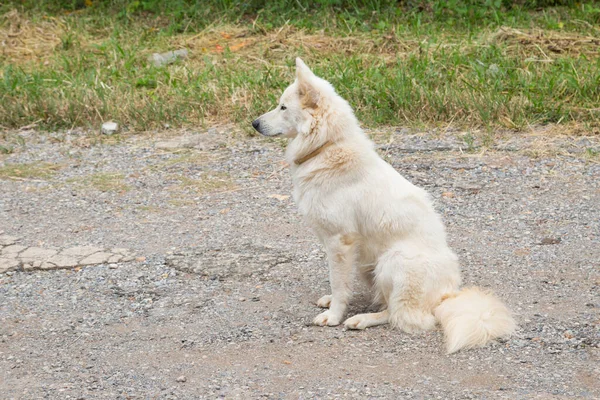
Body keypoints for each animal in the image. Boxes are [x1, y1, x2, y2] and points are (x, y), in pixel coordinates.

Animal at [252, 57, 516, 354]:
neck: (327, 146)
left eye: (283, 107)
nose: (254, 123)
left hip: (393, 261)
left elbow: (339, 284)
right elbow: (339, 284)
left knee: (401, 315)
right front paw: (331, 302)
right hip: (368, 265)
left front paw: (334, 316)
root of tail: (446, 296)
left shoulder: (340, 242)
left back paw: (362, 319)